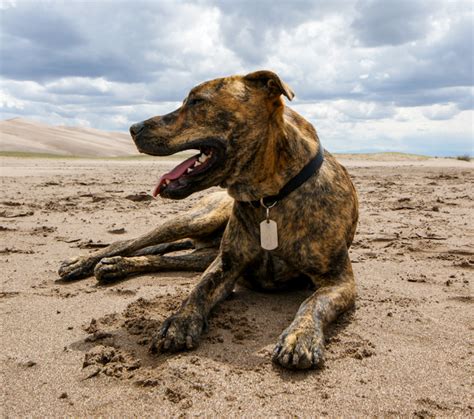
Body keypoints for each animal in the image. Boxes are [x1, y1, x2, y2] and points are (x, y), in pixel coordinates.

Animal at [57, 72, 358, 370]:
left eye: (197, 101)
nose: (133, 127)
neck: (270, 198)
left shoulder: (339, 280)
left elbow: (313, 302)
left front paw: (300, 337)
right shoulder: (225, 265)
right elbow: (199, 289)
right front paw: (179, 321)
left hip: (202, 252)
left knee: (164, 257)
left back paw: (116, 266)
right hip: (197, 219)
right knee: (131, 242)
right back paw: (84, 262)